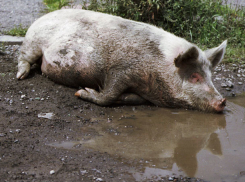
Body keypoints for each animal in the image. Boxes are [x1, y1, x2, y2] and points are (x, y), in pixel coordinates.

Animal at [16, 9, 228, 113]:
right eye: (194, 76)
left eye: (210, 76)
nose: (223, 101)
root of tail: (42, 17)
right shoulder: (121, 68)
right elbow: (109, 94)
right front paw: (81, 92)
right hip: (33, 41)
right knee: (24, 57)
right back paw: (20, 77)